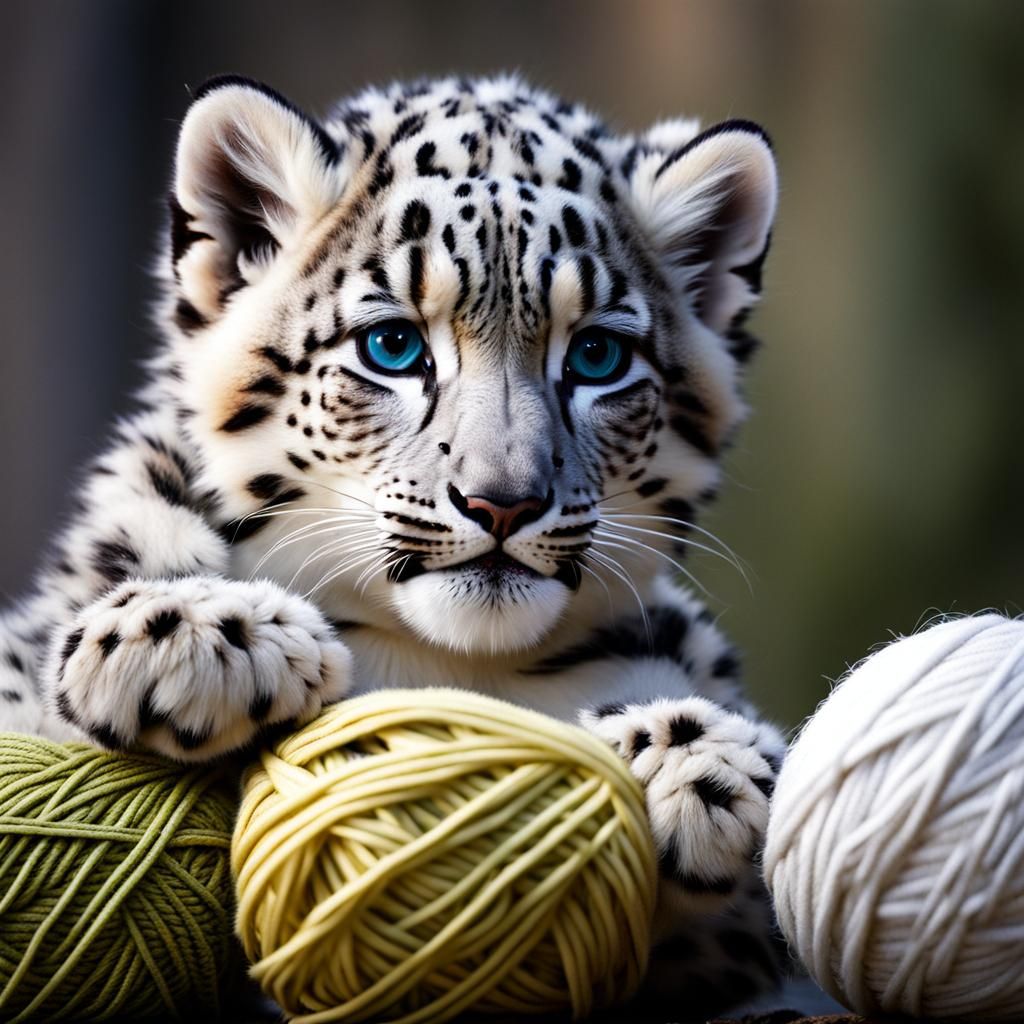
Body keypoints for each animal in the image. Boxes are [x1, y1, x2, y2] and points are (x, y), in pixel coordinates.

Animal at [0, 73, 787, 1014]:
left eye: (598, 355)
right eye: (392, 344)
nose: (502, 503)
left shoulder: (740, 945)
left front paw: (704, 764)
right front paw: (199, 639)